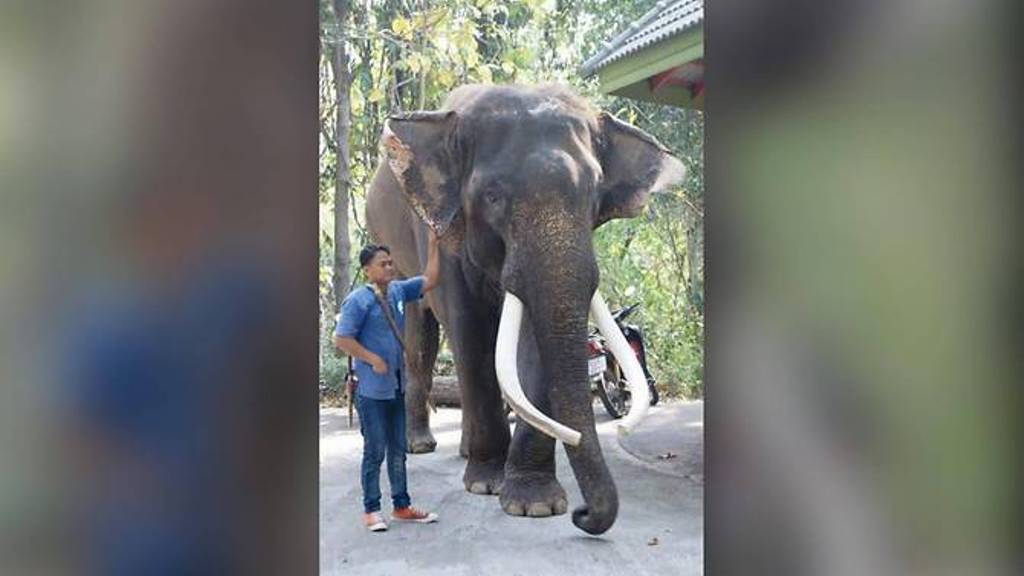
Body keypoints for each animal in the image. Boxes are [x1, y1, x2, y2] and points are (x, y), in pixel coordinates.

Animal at [365, 84, 684, 534]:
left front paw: (535, 503)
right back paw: (423, 445)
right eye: (493, 196)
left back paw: (465, 452)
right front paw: (486, 484)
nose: (583, 514)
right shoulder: (442, 236)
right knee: (420, 340)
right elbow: (471, 333)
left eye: (594, 195)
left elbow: (534, 345)